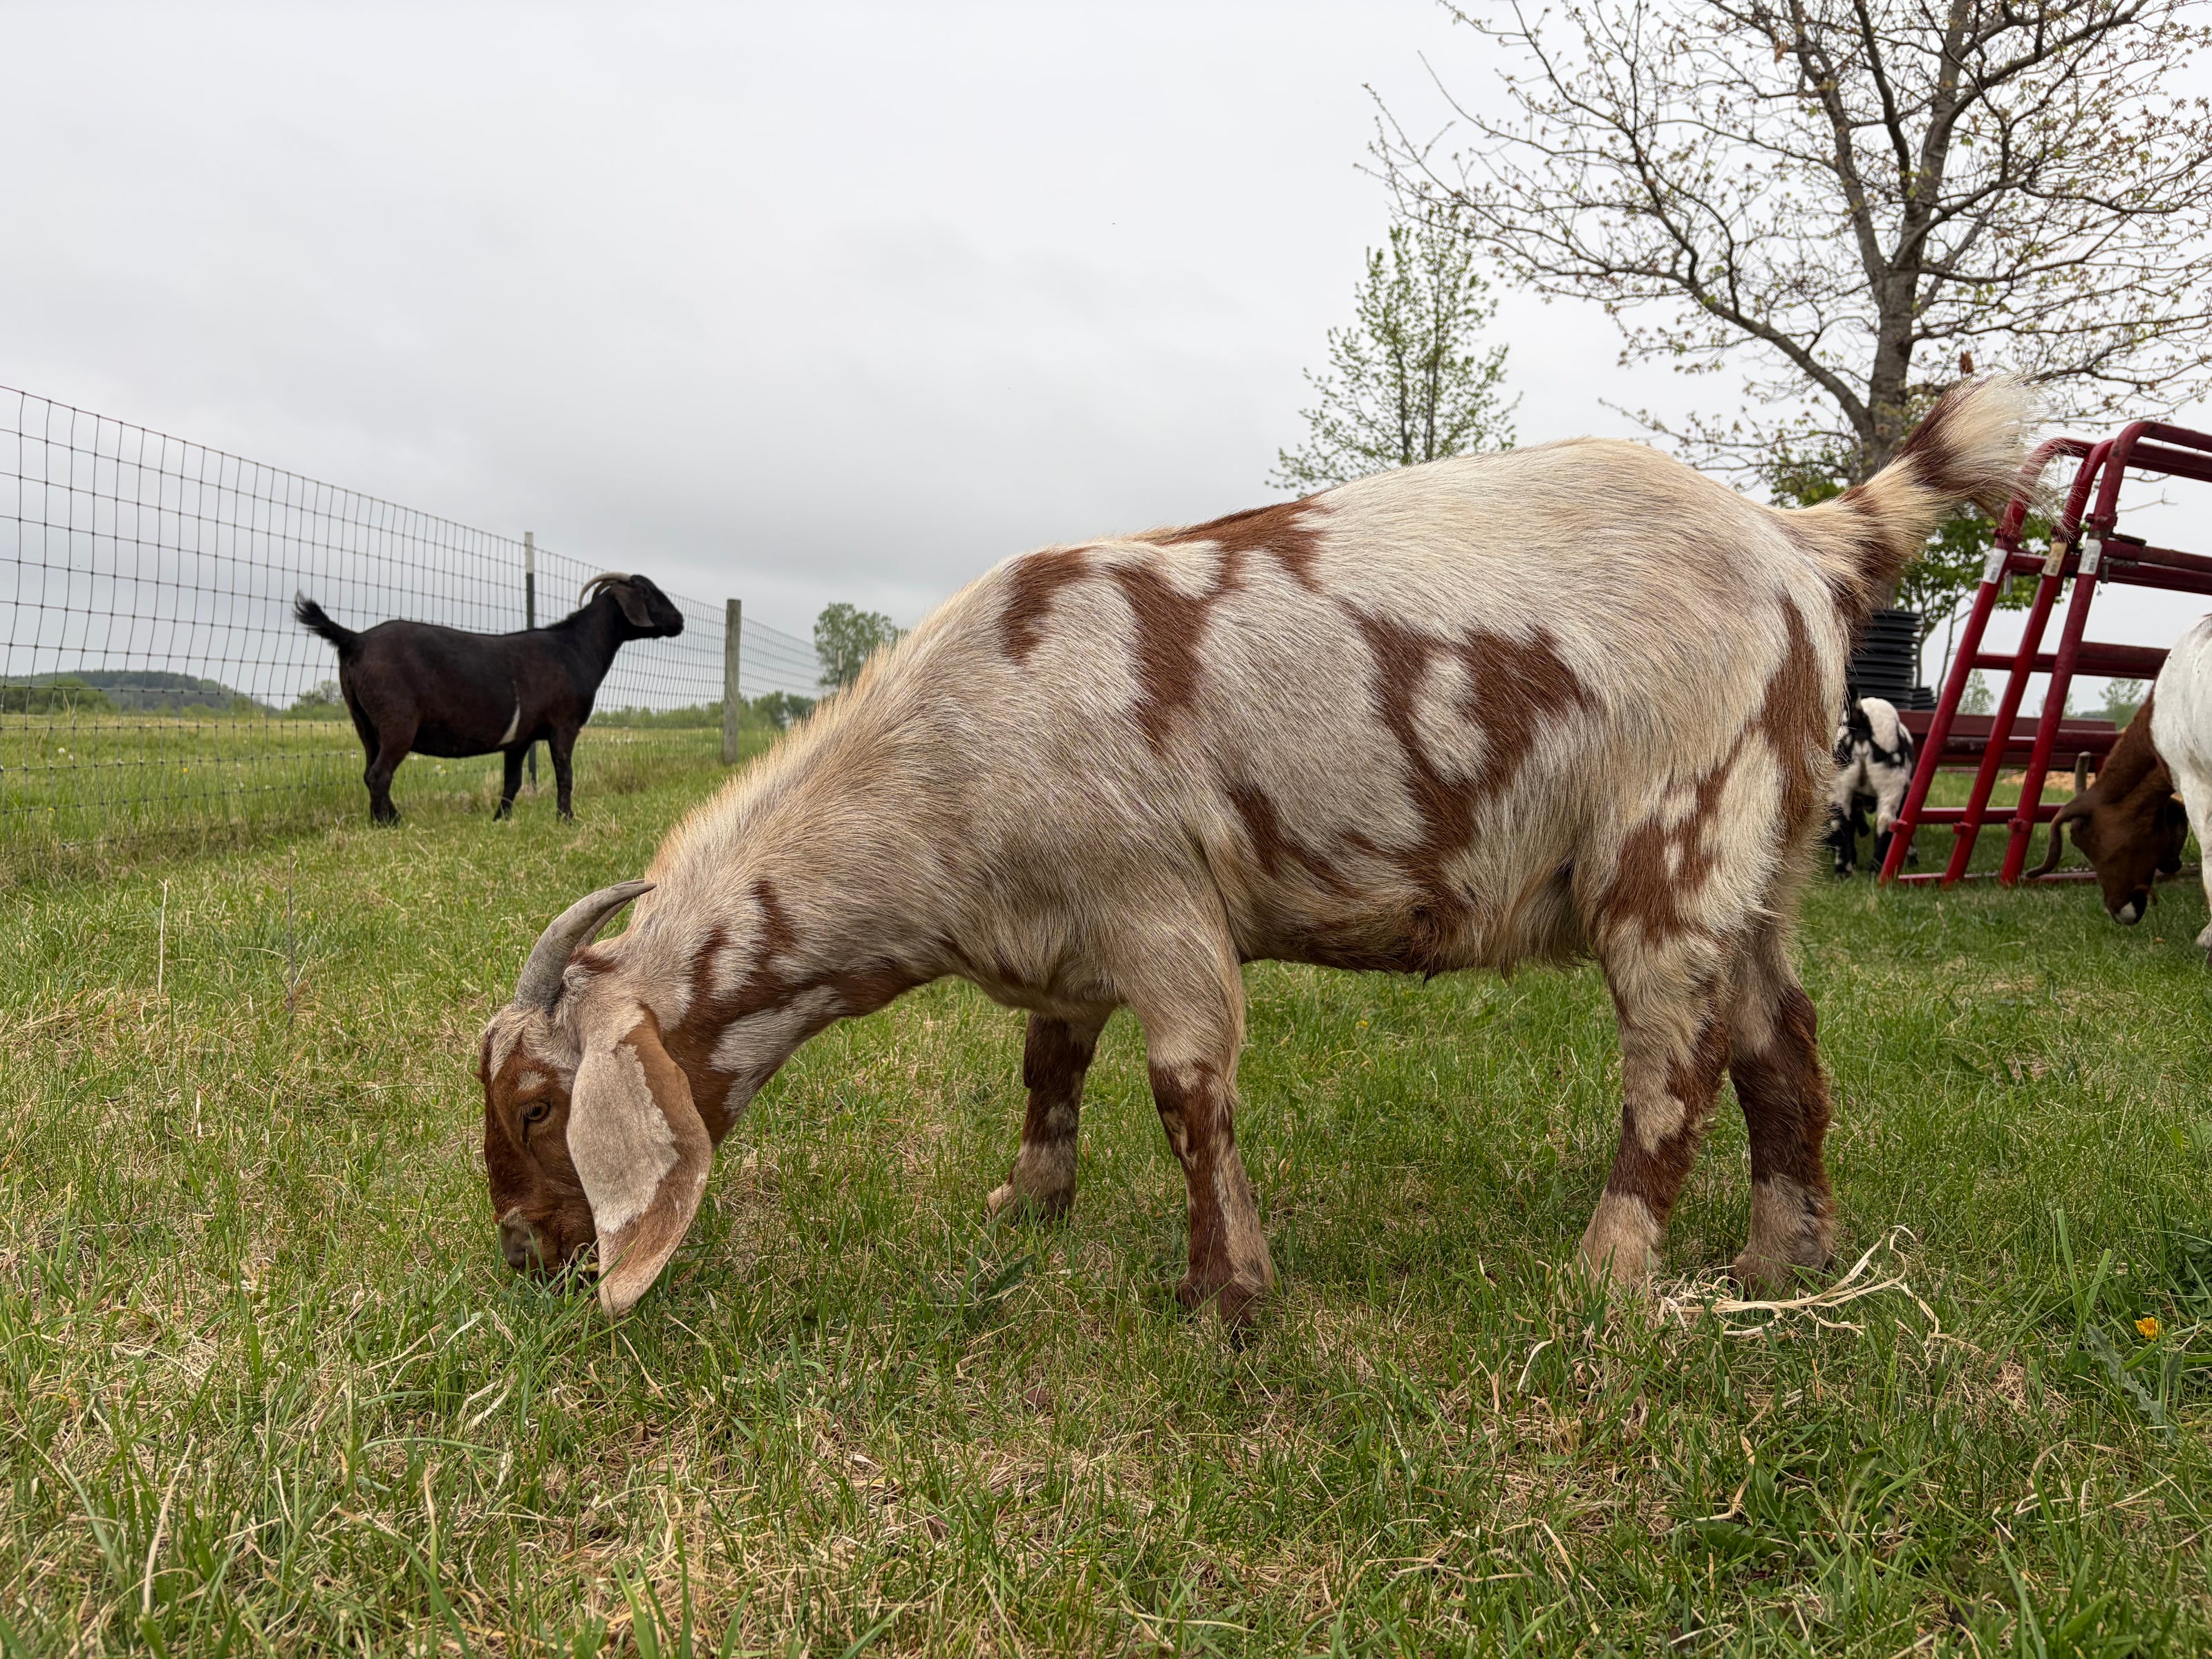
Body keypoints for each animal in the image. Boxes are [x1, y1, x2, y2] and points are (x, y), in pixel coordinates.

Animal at [294, 574, 685, 824]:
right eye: (649, 592)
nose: (679, 621)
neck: (575, 648)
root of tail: (355, 639)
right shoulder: (565, 725)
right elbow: (565, 774)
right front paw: (566, 819)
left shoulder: (520, 739)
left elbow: (512, 780)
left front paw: (501, 820)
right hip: (396, 720)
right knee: (379, 774)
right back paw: (387, 824)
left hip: (363, 720)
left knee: (369, 769)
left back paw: (388, 817)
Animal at [1824, 696, 1915, 876]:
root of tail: (1862, 719)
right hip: (1890, 786)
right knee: (1885, 822)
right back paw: (1876, 870)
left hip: (1840, 787)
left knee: (1841, 824)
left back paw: (1844, 871)